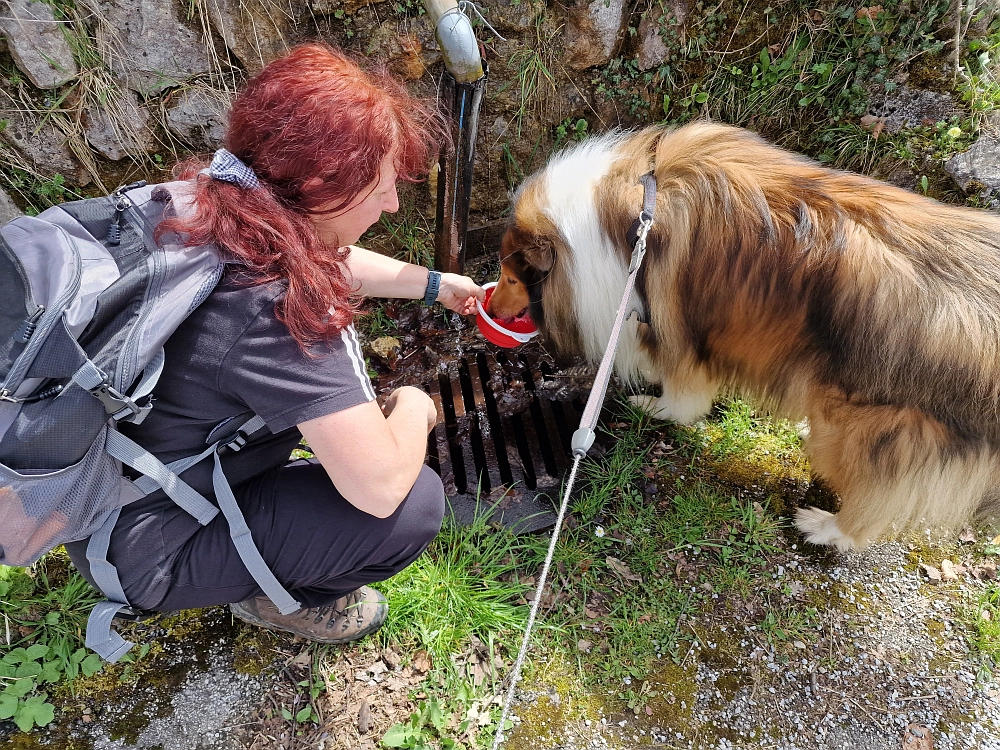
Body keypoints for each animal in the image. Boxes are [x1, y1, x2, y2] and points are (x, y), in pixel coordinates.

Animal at [488, 119, 1000, 552]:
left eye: (511, 276)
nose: (488, 308)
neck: (633, 215)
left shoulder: (675, 327)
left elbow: (682, 392)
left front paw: (656, 406)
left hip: (873, 426)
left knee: (873, 498)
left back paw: (827, 527)